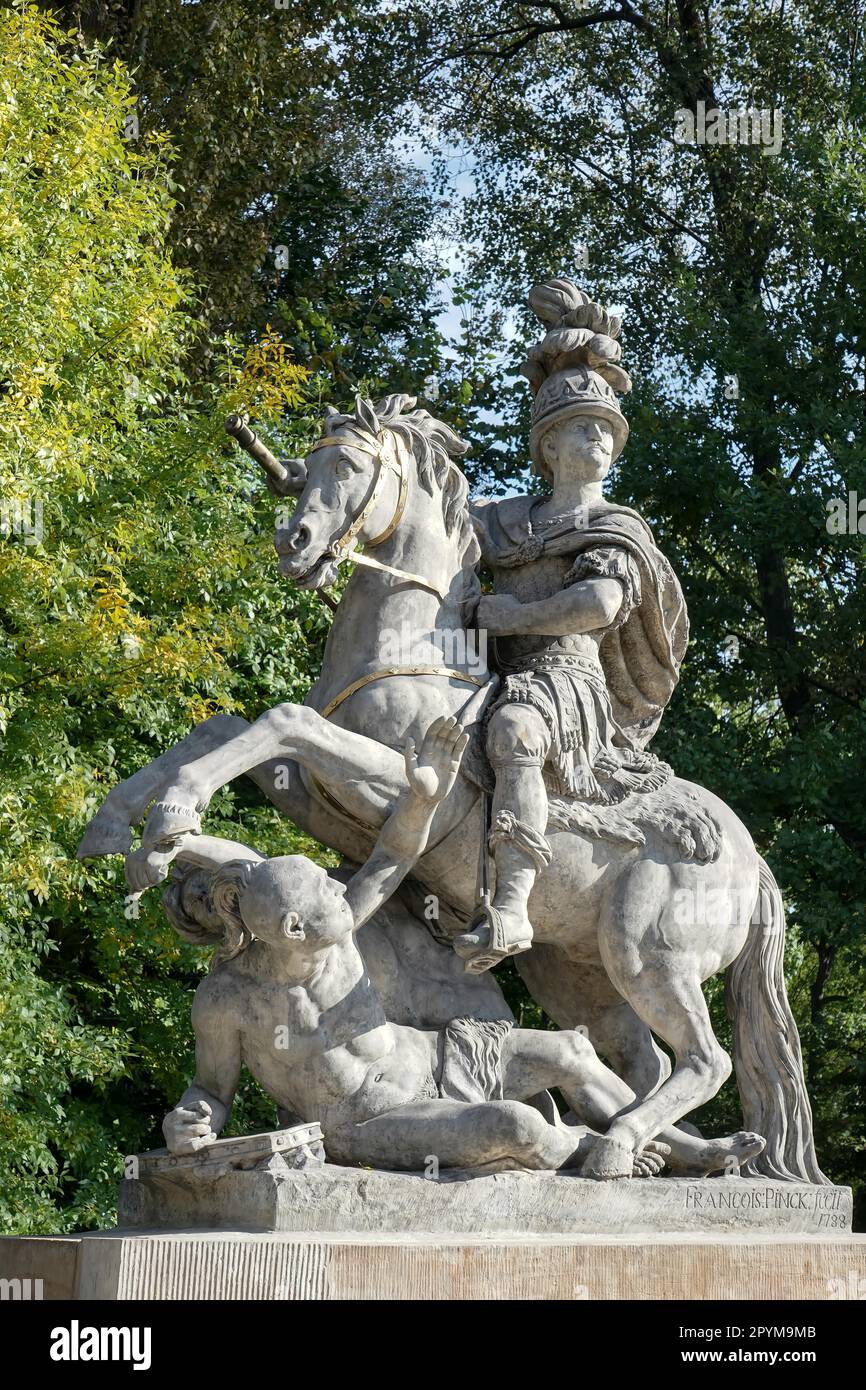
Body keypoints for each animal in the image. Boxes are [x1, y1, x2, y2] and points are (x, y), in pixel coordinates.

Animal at [81, 391, 828, 1184]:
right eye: (308, 466)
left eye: (348, 467)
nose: (296, 543)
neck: (412, 653)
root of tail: (754, 861)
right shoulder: (312, 792)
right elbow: (226, 726)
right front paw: (118, 827)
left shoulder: (401, 782)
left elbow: (284, 719)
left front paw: (171, 818)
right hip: (580, 974)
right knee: (646, 1062)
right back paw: (679, 1152)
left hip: (649, 954)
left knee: (707, 1060)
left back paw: (616, 1149)